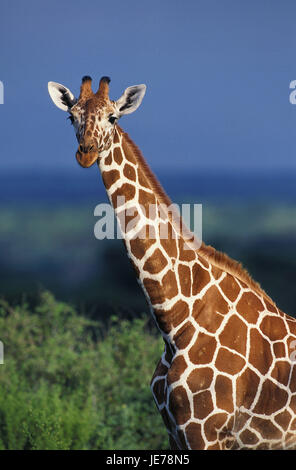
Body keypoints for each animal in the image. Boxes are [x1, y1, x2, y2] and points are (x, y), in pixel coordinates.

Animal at [47, 75, 296, 450]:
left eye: (113, 118)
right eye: (70, 116)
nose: (86, 153)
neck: (177, 321)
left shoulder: (205, 431)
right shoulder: (175, 431)